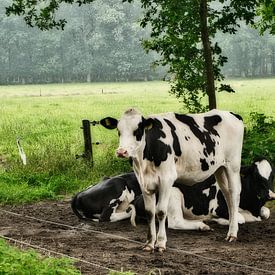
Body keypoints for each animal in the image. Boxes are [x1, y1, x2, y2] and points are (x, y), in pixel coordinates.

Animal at [102, 108, 245, 252]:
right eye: (118, 131)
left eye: (137, 131)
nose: (121, 152)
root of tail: (231, 113)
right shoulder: (143, 182)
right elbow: (150, 212)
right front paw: (149, 243)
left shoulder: (167, 179)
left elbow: (160, 211)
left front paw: (160, 243)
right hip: (219, 169)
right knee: (227, 196)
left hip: (233, 165)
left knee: (234, 195)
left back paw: (232, 234)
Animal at [129, 158, 275, 230]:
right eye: (256, 176)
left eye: (272, 176)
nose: (270, 195)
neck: (252, 206)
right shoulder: (218, 208)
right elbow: (240, 218)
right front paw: (221, 220)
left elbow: (266, 212)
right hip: (174, 194)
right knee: (175, 222)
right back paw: (202, 225)